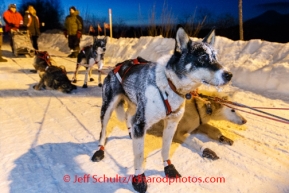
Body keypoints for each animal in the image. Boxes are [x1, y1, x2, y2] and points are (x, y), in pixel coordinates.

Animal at [90, 26, 232, 193]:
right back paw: (100, 150)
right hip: (108, 108)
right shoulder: (142, 123)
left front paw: (168, 167)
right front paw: (139, 177)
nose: (229, 75)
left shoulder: (171, 123)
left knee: (128, 117)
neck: (170, 84)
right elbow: (139, 156)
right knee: (103, 131)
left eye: (215, 57)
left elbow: (165, 149)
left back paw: (130, 133)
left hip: (134, 106)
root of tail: (117, 66)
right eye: (203, 57)